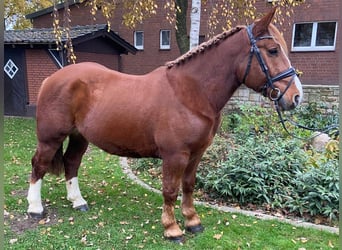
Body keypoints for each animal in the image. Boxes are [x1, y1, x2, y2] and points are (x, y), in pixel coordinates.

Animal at [28, 9, 304, 242]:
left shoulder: (196, 154)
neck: (190, 93)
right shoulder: (175, 155)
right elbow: (170, 190)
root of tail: (52, 79)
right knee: (39, 165)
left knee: (72, 162)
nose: (295, 97)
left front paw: (192, 222)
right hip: (50, 138)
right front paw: (172, 229)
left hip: (79, 136)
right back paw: (35, 208)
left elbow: (189, 185)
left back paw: (78, 201)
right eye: (273, 50)